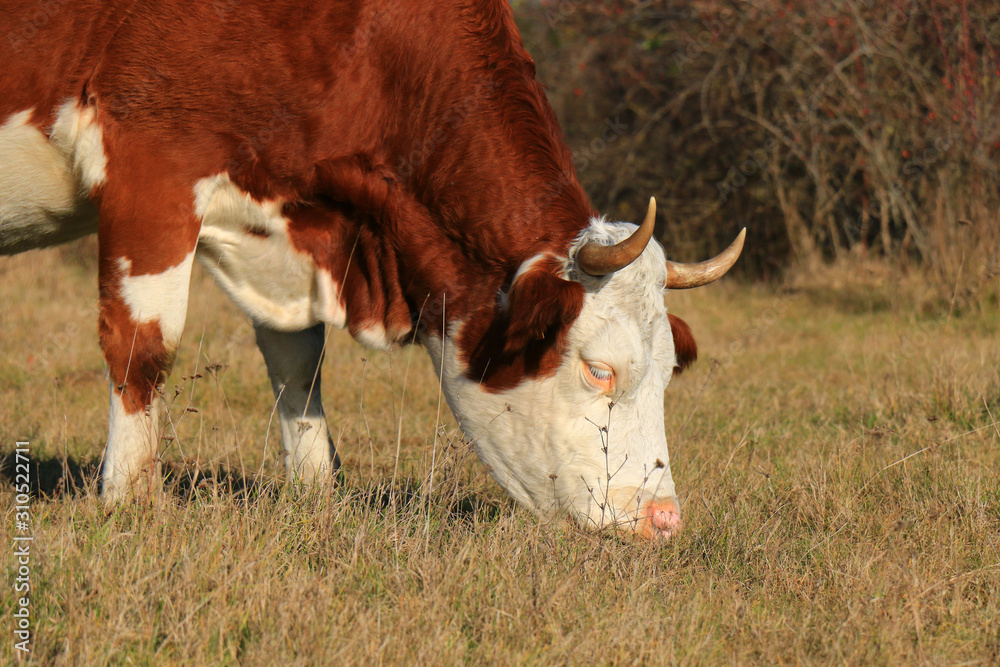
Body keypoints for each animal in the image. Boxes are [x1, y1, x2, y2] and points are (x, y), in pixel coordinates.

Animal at [1, 1, 744, 544]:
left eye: (670, 372)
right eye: (599, 369)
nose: (663, 519)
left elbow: (297, 365)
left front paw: (316, 493)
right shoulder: (153, 164)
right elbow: (144, 346)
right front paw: (128, 500)